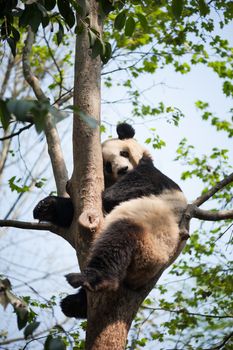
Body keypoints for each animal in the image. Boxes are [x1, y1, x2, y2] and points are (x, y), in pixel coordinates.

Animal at [33, 123, 187, 318]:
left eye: (124, 153)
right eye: (107, 165)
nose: (122, 170)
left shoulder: (153, 177)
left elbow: (112, 196)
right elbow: (75, 213)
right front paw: (46, 207)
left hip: (151, 238)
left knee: (117, 240)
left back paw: (90, 280)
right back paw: (75, 304)